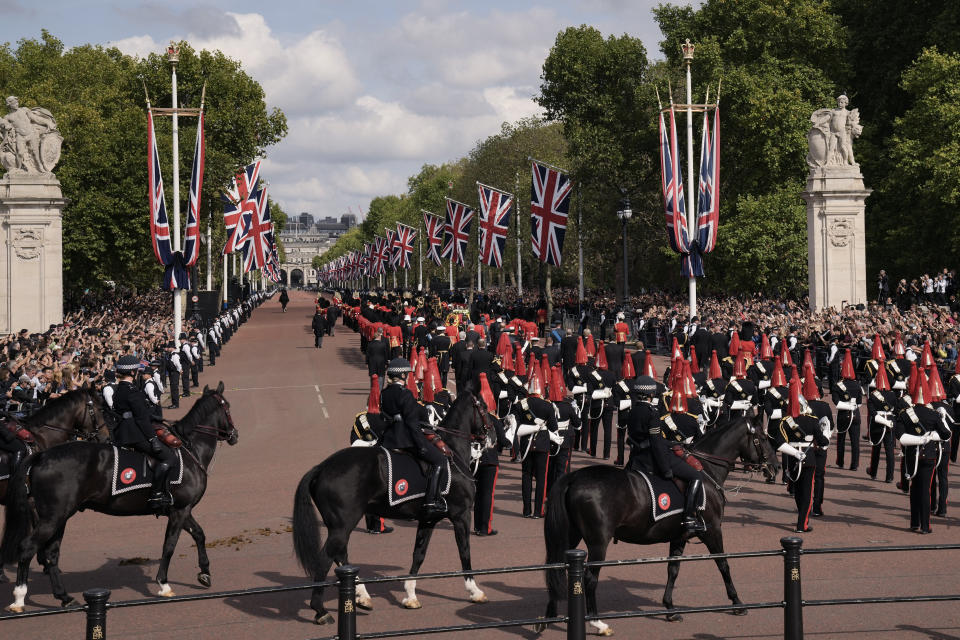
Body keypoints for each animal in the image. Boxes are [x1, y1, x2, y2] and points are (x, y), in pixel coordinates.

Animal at [0, 382, 237, 612]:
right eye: (227, 407)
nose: (234, 434)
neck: (189, 450)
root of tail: (41, 455)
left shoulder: (180, 509)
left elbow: (199, 534)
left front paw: (204, 572)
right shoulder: (179, 510)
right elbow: (169, 546)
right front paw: (164, 584)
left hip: (59, 517)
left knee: (51, 553)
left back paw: (64, 597)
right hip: (52, 518)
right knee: (27, 548)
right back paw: (19, 599)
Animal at [292, 388, 496, 624]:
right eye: (483, 407)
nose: (493, 438)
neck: (451, 453)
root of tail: (322, 467)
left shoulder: (428, 519)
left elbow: (419, 554)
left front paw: (410, 595)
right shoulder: (461, 515)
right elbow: (464, 551)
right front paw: (474, 591)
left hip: (339, 526)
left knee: (340, 556)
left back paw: (361, 596)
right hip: (343, 525)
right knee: (326, 559)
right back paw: (321, 609)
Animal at [540, 416, 780, 636]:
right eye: (763, 437)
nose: (776, 467)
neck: (707, 470)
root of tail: (573, 477)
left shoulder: (679, 536)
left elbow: (673, 570)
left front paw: (670, 608)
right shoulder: (712, 530)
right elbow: (723, 564)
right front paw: (737, 602)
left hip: (571, 535)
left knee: (556, 567)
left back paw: (548, 617)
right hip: (598, 542)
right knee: (590, 579)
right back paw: (597, 623)